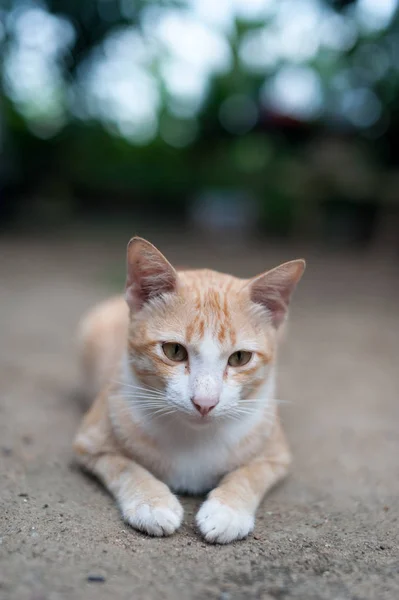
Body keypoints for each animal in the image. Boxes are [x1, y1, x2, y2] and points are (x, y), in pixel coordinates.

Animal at [74, 238, 306, 544]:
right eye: (174, 351)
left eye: (240, 358)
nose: (204, 403)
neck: (194, 438)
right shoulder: (89, 444)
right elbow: (125, 467)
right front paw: (152, 503)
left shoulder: (277, 455)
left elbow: (250, 474)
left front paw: (227, 510)